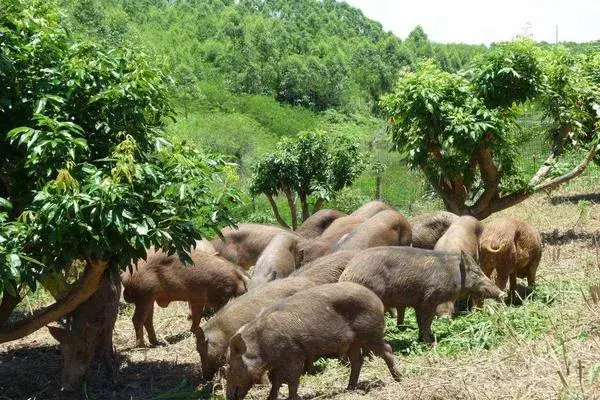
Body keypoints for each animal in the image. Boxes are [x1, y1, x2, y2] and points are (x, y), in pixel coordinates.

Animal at [227, 282, 400, 400]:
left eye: (232, 368)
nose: (228, 395)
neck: (263, 343)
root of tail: (377, 300)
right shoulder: (279, 362)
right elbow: (276, 382)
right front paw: (271, 398)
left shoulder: (294, 354)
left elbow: (292, 380)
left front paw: (294, 398)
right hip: (354, 342)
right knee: (357, 361)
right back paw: (349, 388)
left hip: (371, 334)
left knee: (387, 349)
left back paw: (398, 378)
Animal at [340, 245, 504, 342]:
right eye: (476, 272)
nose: (502, 293)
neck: (453, 274)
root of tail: (346, 274)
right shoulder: (429, 298)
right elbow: (426, 321)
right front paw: (429, 342)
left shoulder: (418, 303)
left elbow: (421, 321)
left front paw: (424, 338)